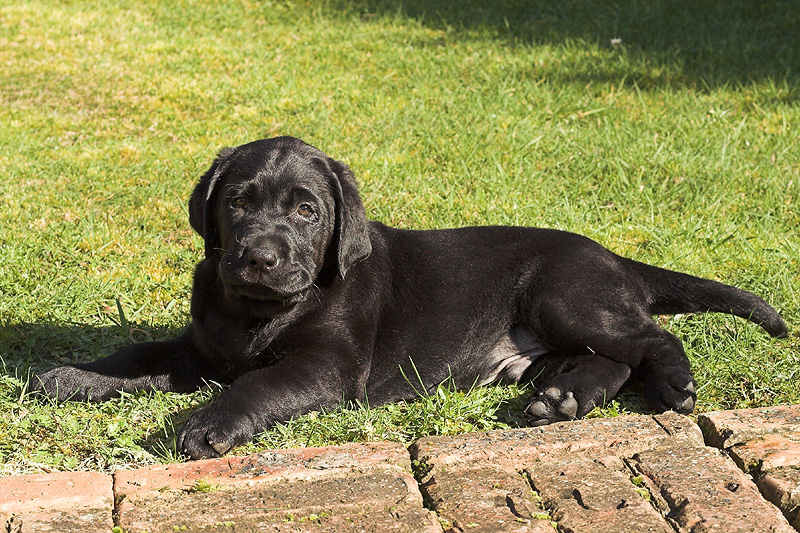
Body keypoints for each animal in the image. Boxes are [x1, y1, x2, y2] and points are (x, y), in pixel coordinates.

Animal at [32, 136, 788, 458]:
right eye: (238, 204)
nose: (259, 258)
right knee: (608, 360)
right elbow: (138, 353)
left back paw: (674, 384)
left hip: (564, 294)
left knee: (651, 339)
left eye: (305, 210)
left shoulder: (324, 368)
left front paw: (208, 424)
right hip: (547, 341)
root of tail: (611, 256)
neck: (256, 313)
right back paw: (561, 401)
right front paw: (68, 375)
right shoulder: (200, 349)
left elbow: (254, 386)